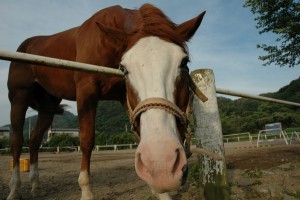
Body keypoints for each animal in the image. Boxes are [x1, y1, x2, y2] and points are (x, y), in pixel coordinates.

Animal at [7, 3, 205, 200]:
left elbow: (139, 136)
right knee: (17, 140)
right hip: (19, 98)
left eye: (184, 62)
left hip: (48, 107)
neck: (108, 44)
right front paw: (86, 192)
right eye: (124, 68)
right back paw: (14, 189)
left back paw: (35, 186)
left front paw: (159, 191)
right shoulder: (86, 92)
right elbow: (87, 140)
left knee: (34, 139)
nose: (162, 165)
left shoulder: (124, 98)